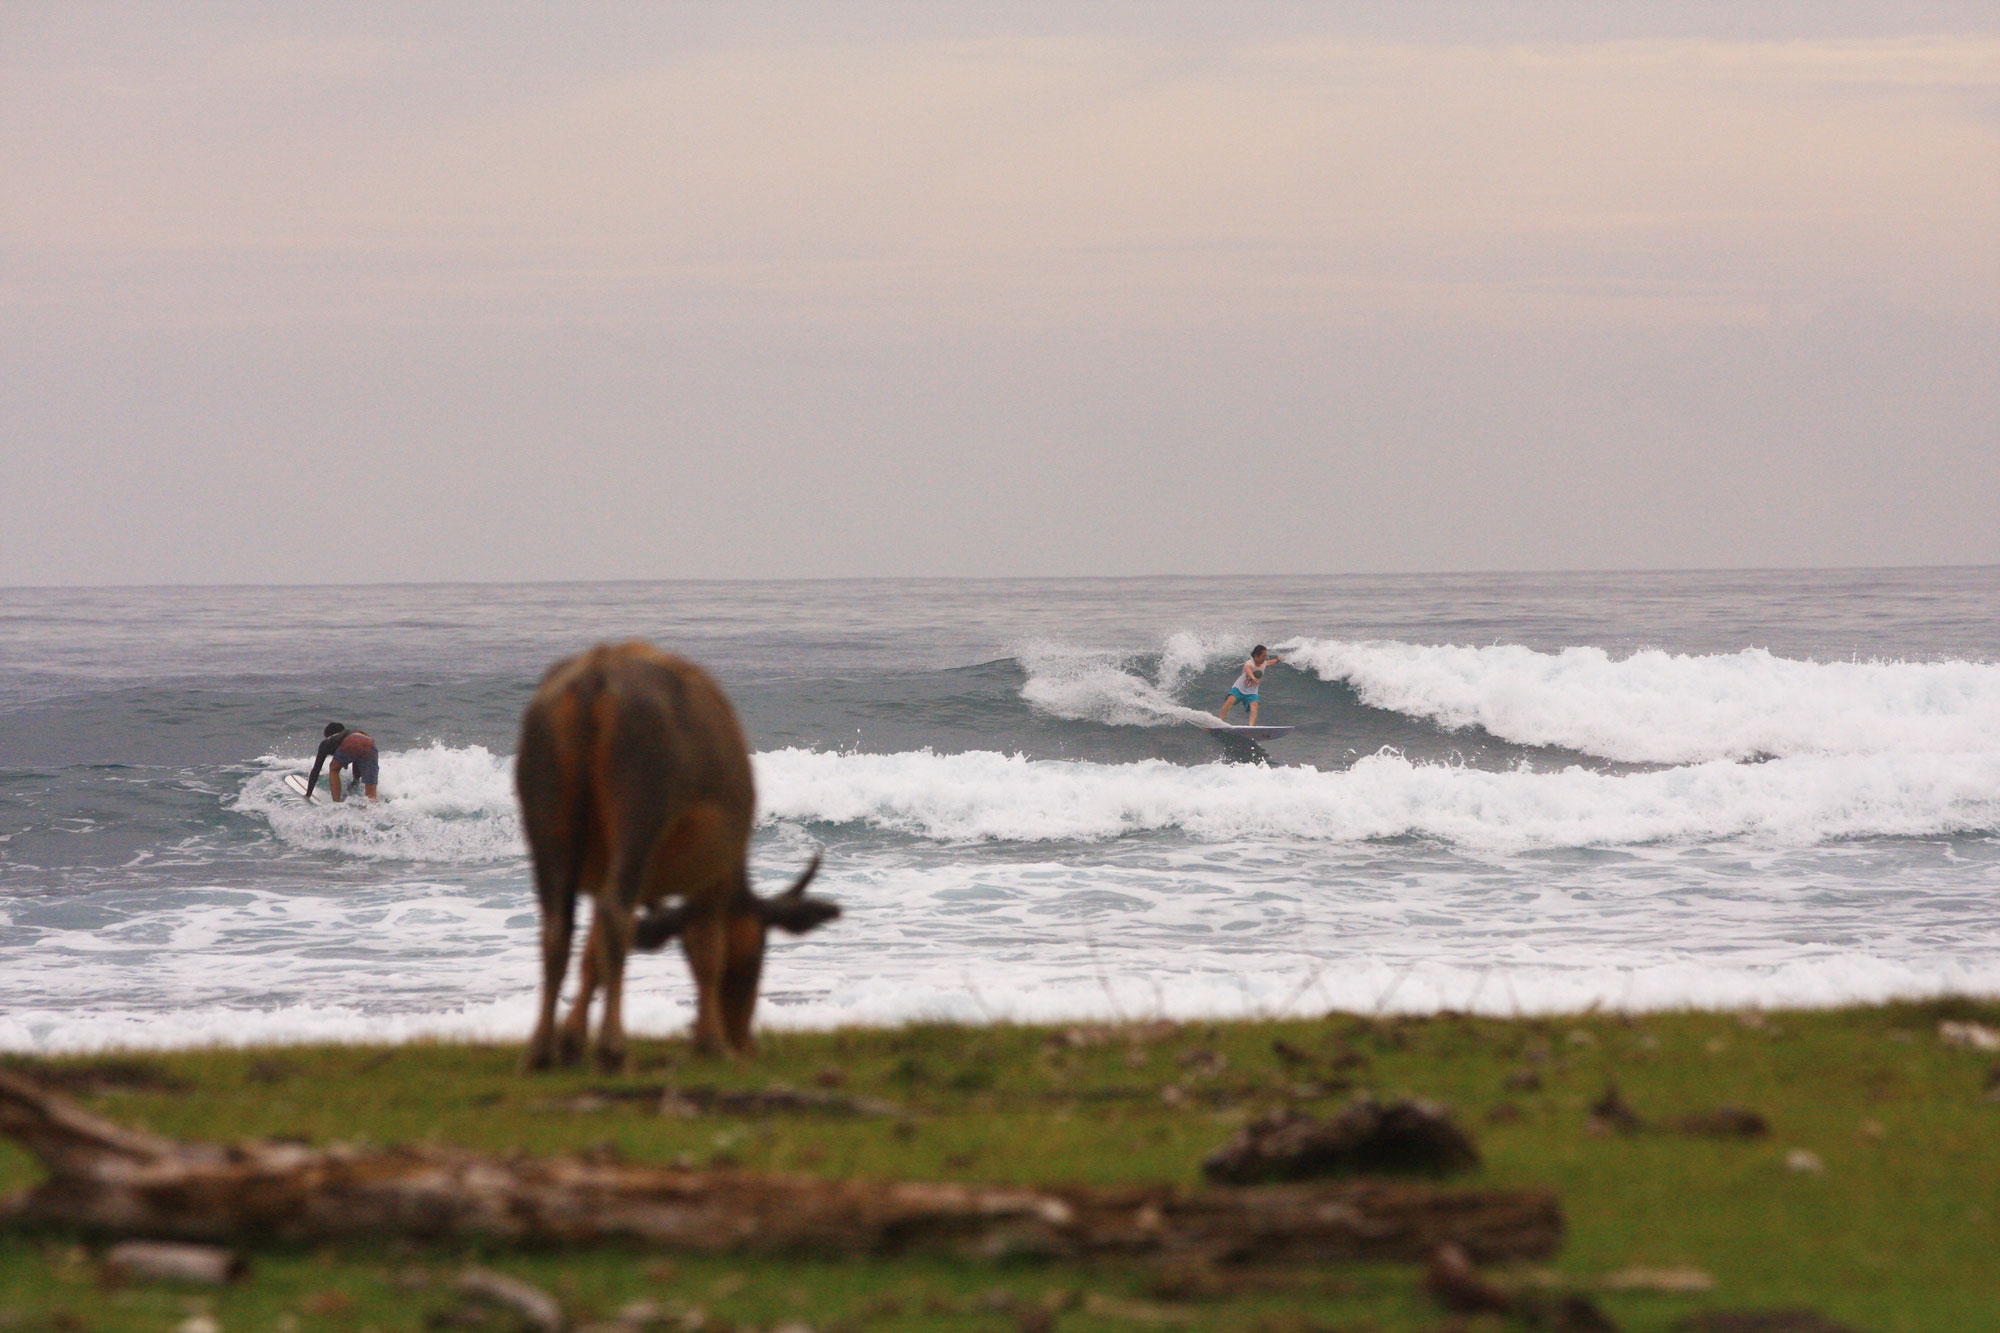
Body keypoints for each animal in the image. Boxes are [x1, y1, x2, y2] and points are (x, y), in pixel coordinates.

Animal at [516, 636, 836, 1072]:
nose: (744, 1042)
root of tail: (596, 674)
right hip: (640, 813)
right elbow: (707, 949)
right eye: (754, 962)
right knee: (615, 915)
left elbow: (591, 957)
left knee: (556, 927)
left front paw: (572, 1039)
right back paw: (613, 1048)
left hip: (545, 824)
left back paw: (540, 1050)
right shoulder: (716, 872)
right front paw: (710, 1042)